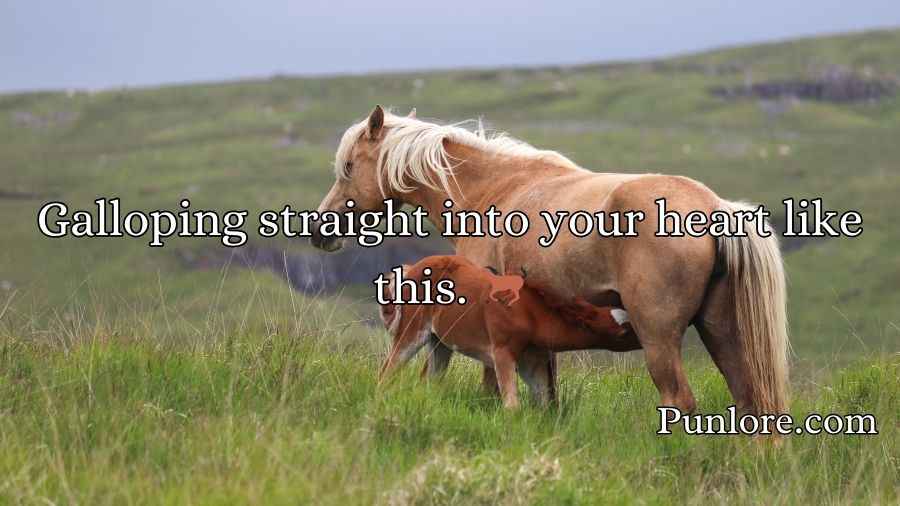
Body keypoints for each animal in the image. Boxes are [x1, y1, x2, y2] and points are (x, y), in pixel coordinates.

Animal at [377, 255, 633, 408]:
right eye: (623, 332)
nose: (640, 338)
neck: (529, 312)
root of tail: (411, 268)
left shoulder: (532, 362)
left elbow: (543, 402)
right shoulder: (501, 354)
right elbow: (512, 405)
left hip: (439, 342)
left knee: (430, 380)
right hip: (412, 331)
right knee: (387, 370)